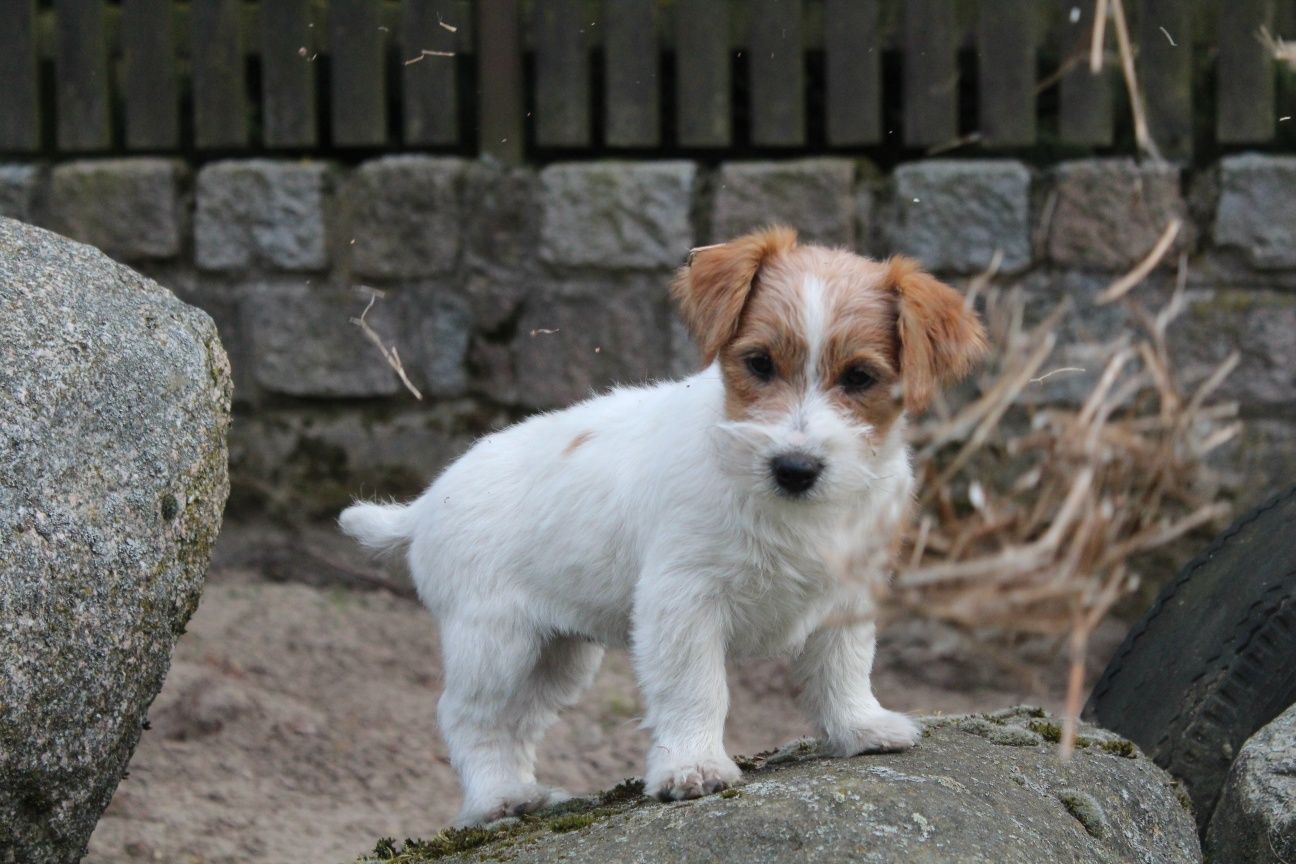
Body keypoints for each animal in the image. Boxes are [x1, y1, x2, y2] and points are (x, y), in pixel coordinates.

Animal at [339, 226, 984, 829]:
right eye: (759, 363)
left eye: (859, 378)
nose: (794, 469)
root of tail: (424, 504)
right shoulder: (683, 600)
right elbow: (696, 688)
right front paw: (691, 765)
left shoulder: (847, 596)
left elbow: (843, 667)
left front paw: (860, 727)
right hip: (496, 643)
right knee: (468, 717)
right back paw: (496, 799)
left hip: (555, 656)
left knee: (517, 723)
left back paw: (524, 793)